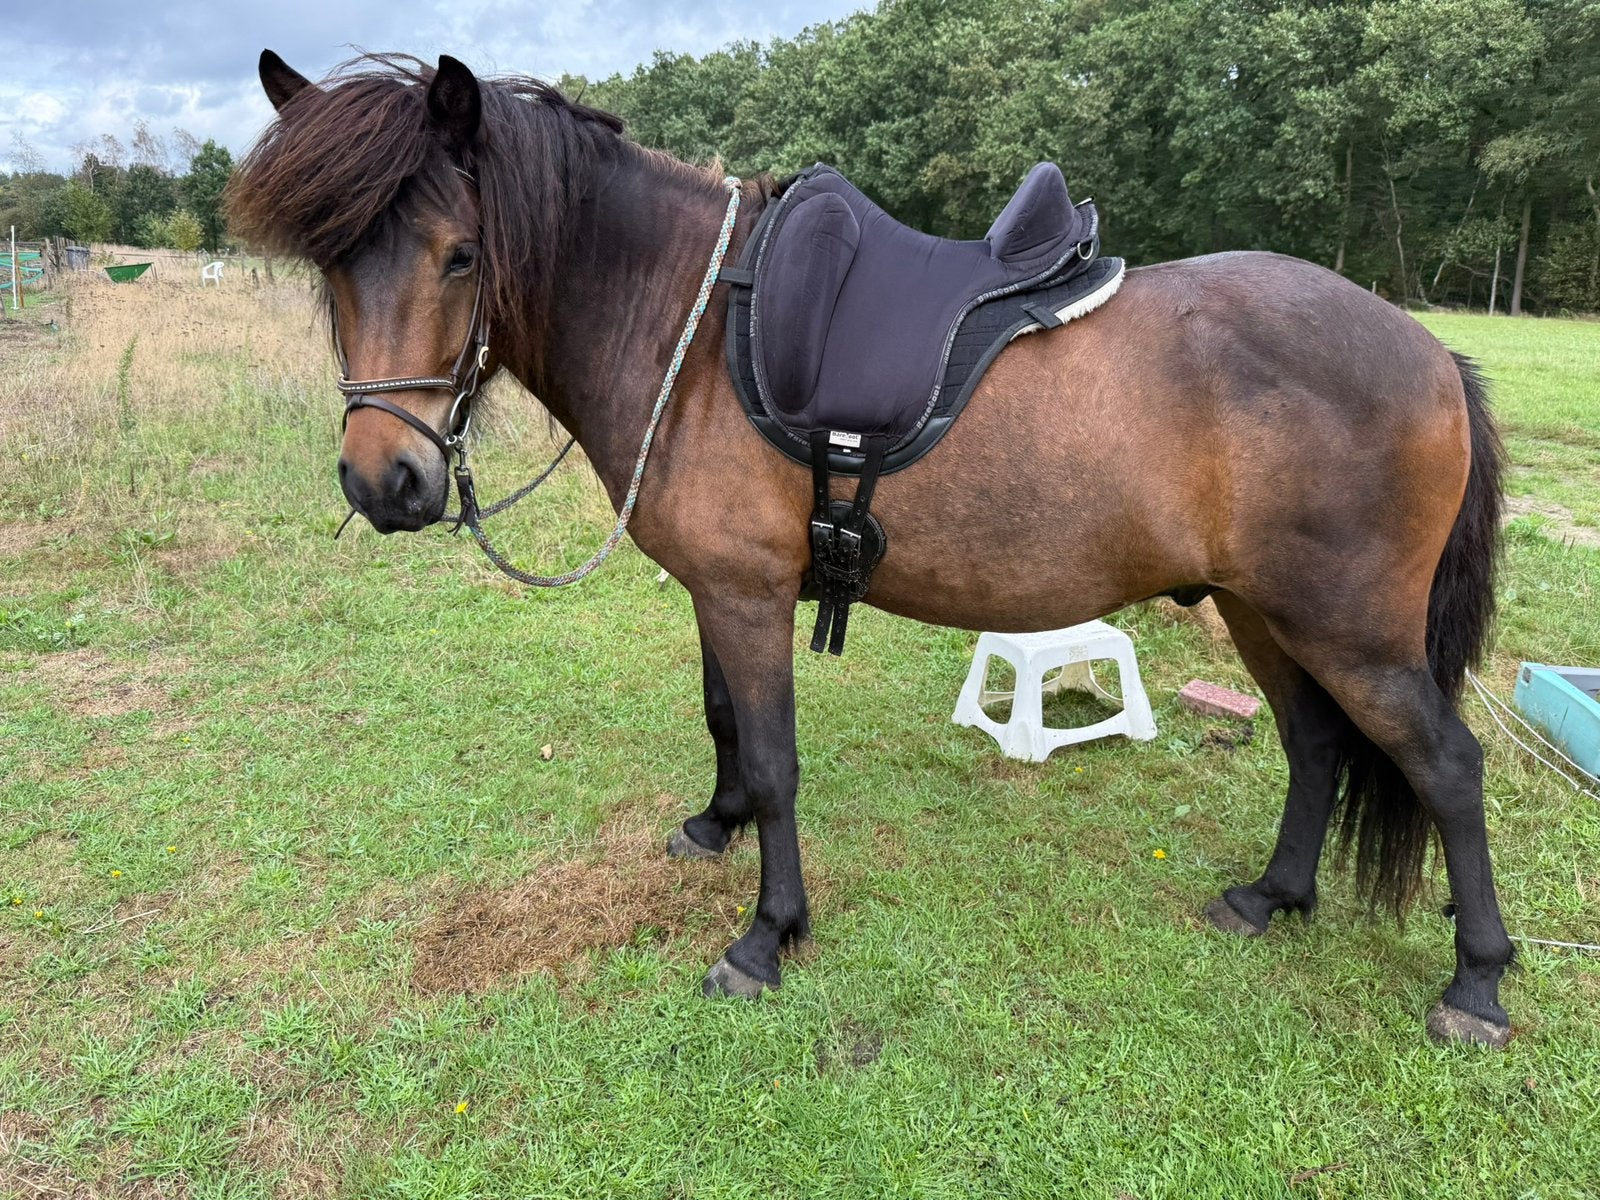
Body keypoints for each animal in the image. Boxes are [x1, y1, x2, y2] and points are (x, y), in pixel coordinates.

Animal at [228, 51, 1514, 1047]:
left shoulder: (748, 595)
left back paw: (1477, 986)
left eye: (458, 253)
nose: (385, 484)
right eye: (334, 263)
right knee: (1315, 745)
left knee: (1444, 767)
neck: (692, 323)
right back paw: (1271, 896)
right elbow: (726, 725)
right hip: (1265, 612)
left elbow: (776, 760)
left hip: (1350, 630)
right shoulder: (718, 590)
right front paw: (713, 826)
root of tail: (1429, 352)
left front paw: (766, 936)